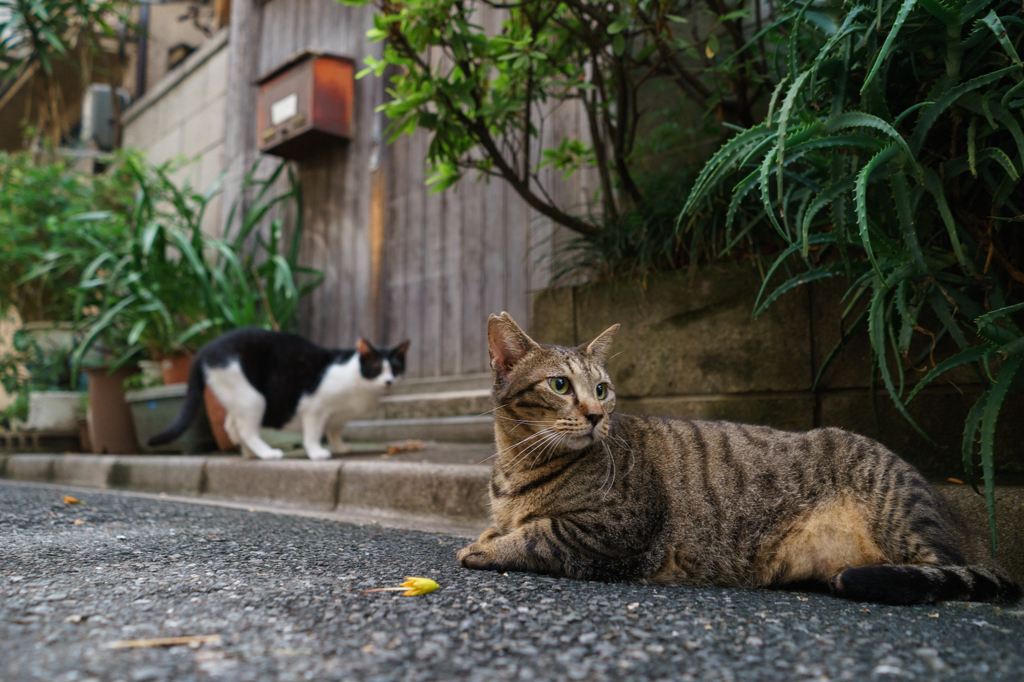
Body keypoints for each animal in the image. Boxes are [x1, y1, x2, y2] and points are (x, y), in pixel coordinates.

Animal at [149, 327, 411, 458]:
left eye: (396, 368)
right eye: (377, 369)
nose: (388, 381)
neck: (359, 382)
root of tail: (205, 349)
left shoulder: (340, 417)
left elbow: (335, 430)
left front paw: (339, 447)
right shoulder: (314, 407)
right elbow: (313, 433)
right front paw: (317, 452)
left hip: (237, 398)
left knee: (232, 426)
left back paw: (248, 453)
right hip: (252, 398)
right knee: (245, 429)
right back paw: (266, 453)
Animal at [460, 311, 1019, 602]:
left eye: (601, 388)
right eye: (559, 385)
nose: (597, 415)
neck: (516, 466)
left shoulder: (616, 531)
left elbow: (538, 535)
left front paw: (484, 547)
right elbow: (509, 525)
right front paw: (490, 533)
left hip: (899, 513)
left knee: (941, 574)